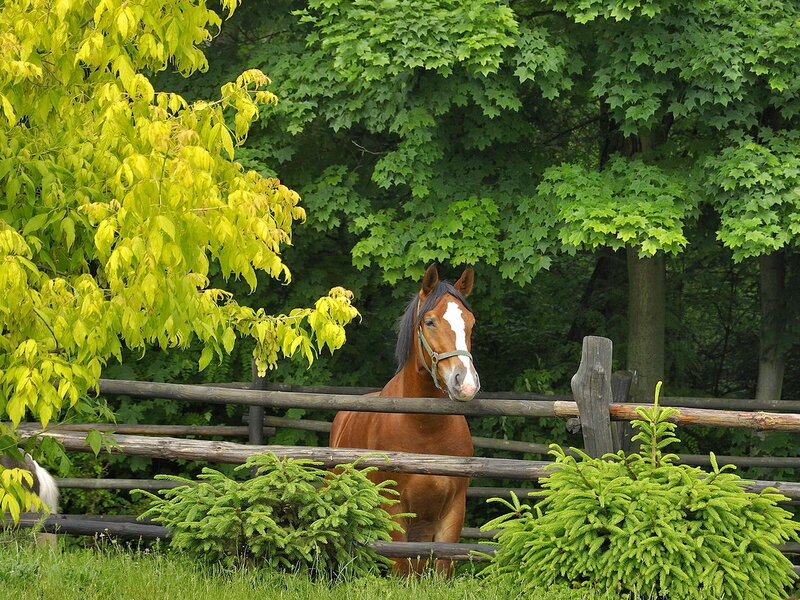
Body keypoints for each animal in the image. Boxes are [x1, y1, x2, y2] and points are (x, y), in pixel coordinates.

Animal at [329, 265, 480, 576]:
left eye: (470, 323)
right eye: (430, 322)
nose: (466, 383)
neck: (424, 428)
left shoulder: (453, 510)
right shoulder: (394, 508)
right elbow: (400, 566)